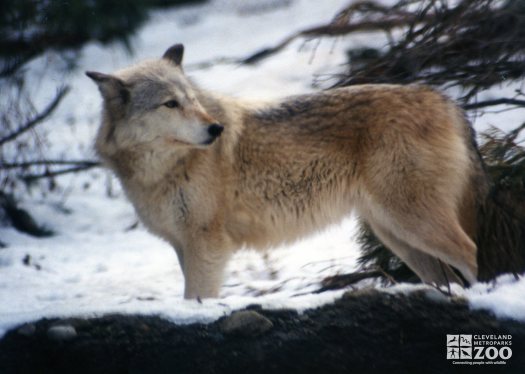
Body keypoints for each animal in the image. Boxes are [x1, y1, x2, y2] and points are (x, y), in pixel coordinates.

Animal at [87, 43, 488, 300]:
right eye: (170, 104)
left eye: (193, 100)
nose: (216, 129)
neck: (162, 169)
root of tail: (446, 101)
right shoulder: (182, 246)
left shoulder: (206, 244)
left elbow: (197, 297)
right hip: (398, 236)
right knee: (446, 279)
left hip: (412, 224)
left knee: (472, 253)